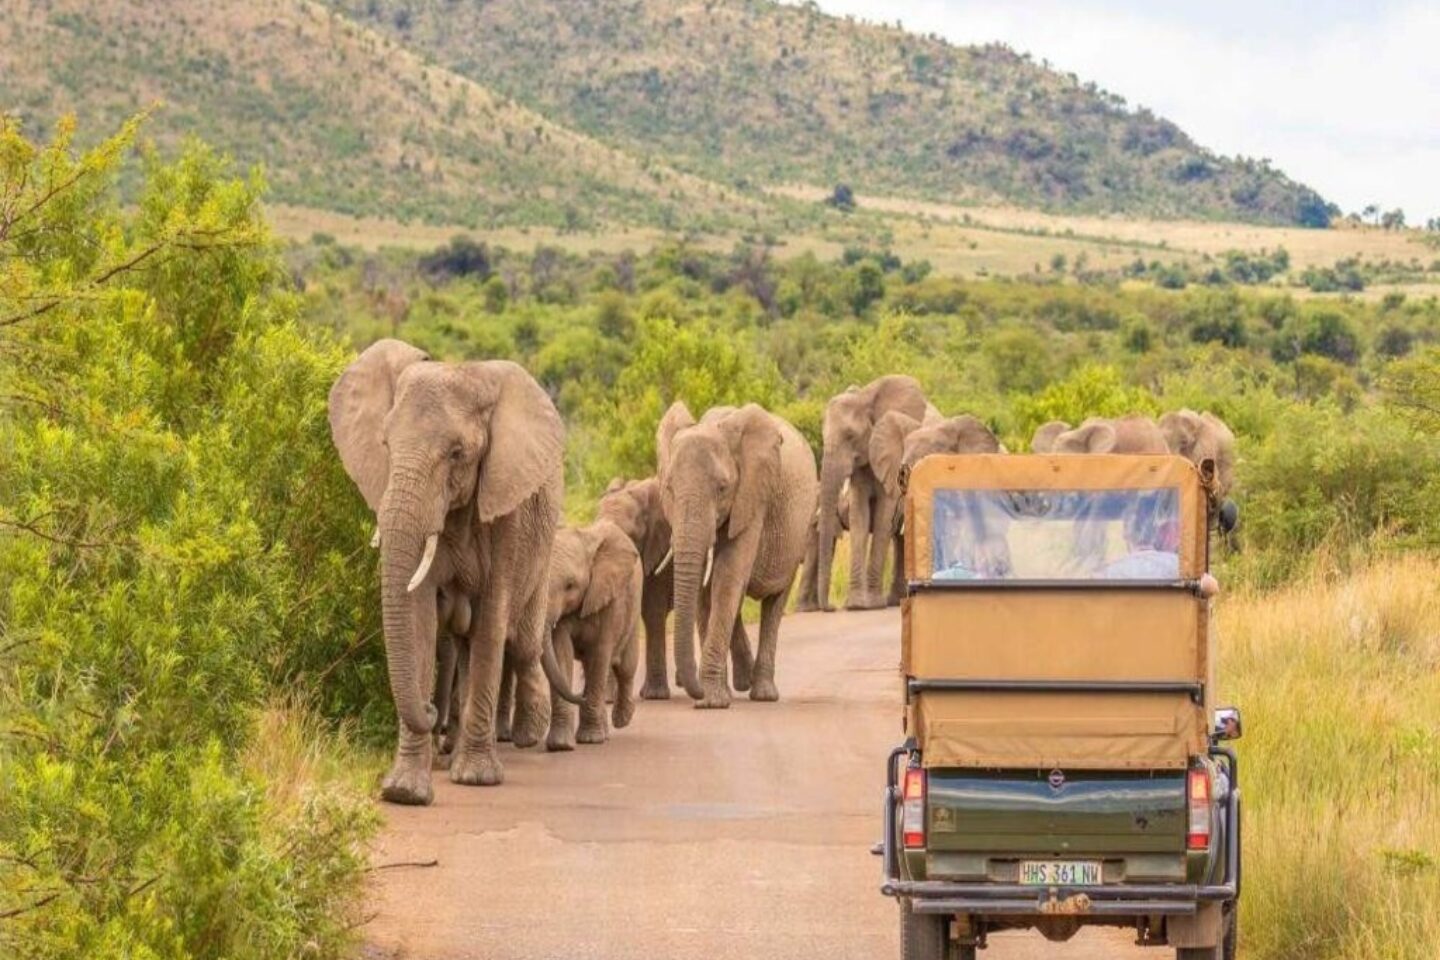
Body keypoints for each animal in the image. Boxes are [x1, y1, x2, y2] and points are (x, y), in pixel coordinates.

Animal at [328, 338, 568, 804]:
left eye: (458, 454)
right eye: (385, 445)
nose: (429, 709)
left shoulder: (506, 511)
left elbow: (492, 622)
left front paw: (476, 778)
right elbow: (419, 619)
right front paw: (404, 791)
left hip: (544, 544)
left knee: (522, 644)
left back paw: (528, 736)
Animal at [543, 519, 643, 751]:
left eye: (570, 585)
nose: (580, 696)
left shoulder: (610, 598)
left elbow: (600, 653)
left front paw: (590, 740)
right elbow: (560, 653)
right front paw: (561, 745)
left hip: (633, 609)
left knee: (625, 667)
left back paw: (622, 720)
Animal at [657, 402, 818, 708]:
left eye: (722, 488)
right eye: (669, 488)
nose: (688, 686)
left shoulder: (753, 497)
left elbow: (727, 576)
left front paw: (711, 701)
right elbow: (705, 589)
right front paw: (714, 697)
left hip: (798, 533)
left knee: (774, 603)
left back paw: (763, 693)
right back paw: (743, 681)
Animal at [814, 375, 930, 611]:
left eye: (850, 436)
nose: (830, 607)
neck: (864, 398)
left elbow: (882, 518)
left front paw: (873, 604)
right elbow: (859, 516)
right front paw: (856, 605)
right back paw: (895, 600)